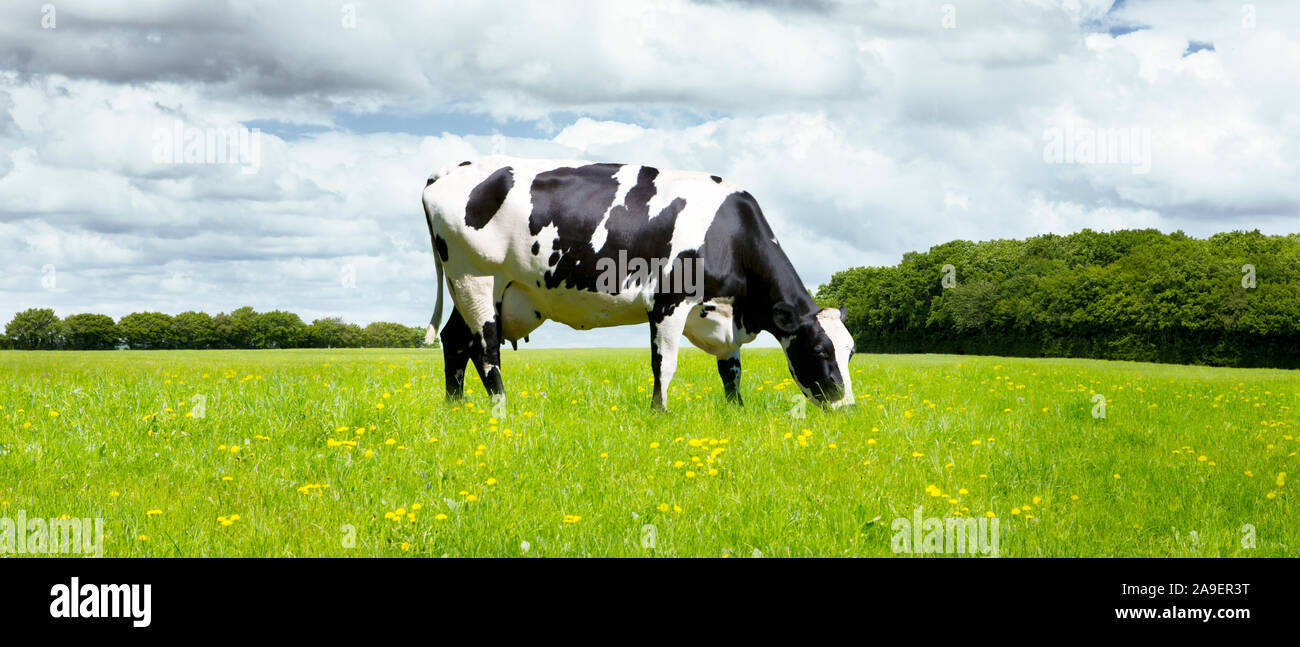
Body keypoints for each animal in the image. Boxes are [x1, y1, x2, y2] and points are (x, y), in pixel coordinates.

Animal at [421, 153, 857, 413]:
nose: (849, 407)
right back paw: (503, 409)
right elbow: (665, 363)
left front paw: (736, 411)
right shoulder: (668, 301)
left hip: (481, 289)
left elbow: (731, 371)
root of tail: (454, 168)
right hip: (476, 278)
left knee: (455, 340)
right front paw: (659, 412)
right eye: (820, 350)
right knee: (485, 347)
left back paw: (454, 407)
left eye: (851, 352)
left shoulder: (724, 312)